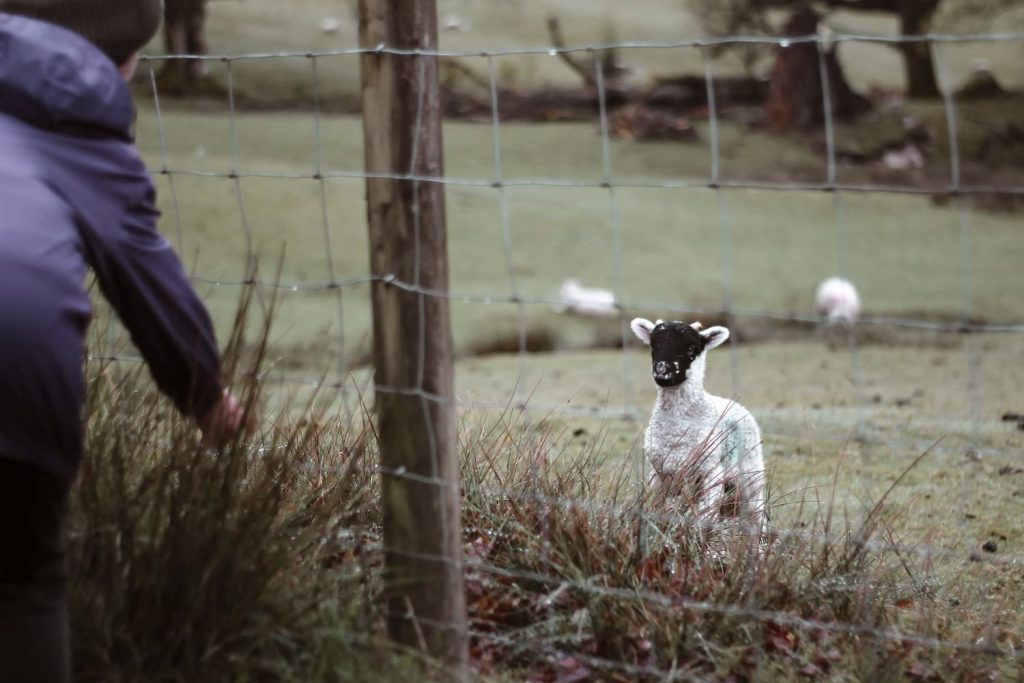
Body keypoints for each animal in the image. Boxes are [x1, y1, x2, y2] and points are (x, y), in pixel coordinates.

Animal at [626, 319, 765, 528]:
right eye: (653, 345)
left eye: (691, 347)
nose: (662, 371)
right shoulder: (659, 474)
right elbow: (658, 511)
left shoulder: (711, 471)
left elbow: (705, 518)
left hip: (751, 474)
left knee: (757, 515)